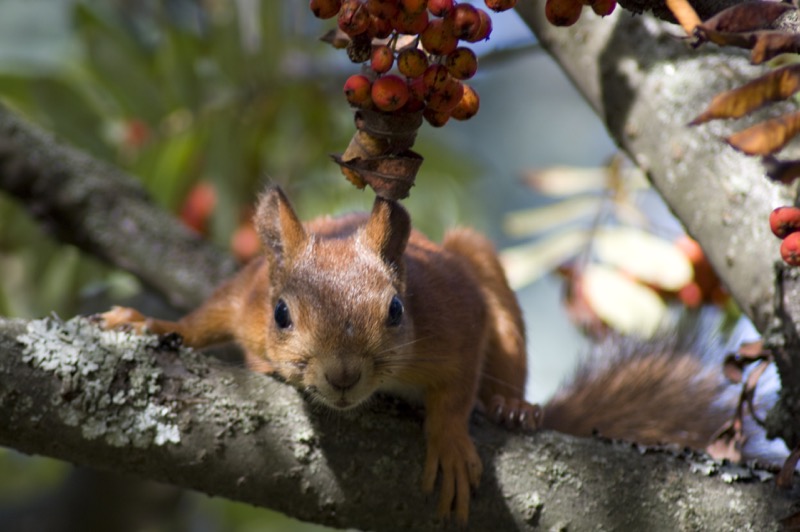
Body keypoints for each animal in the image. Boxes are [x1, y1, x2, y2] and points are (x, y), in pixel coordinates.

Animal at [101, 187, 732, 524]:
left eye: (397, 309)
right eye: (280, 313)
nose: (343, 375)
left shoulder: (458, 319)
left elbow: (455, 390)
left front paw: (449, 442)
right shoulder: (246, 298)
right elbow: (206, 316)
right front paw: (152, 322)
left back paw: (512, 407)